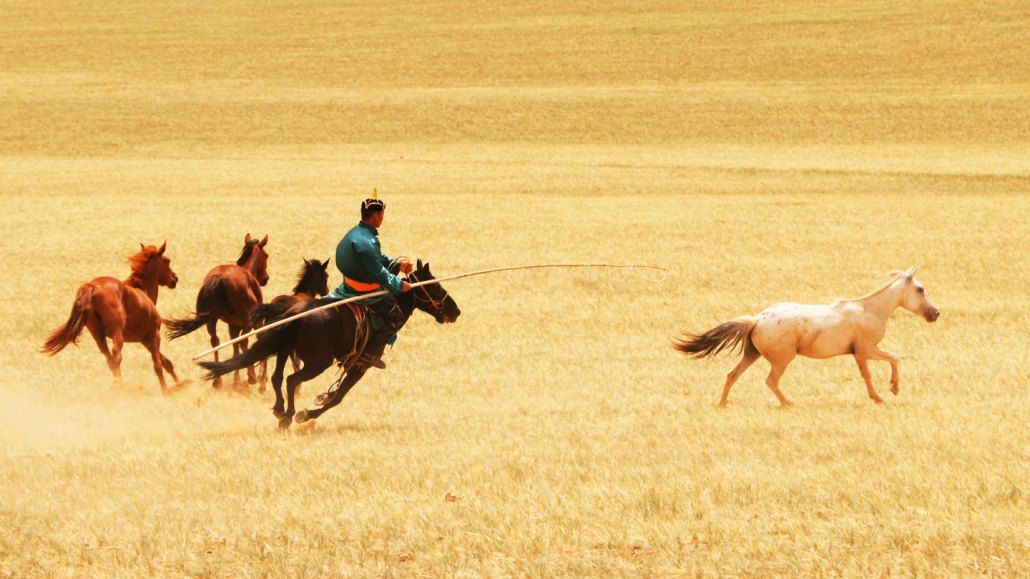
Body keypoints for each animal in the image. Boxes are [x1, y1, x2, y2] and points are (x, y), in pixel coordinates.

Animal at [41, 242, 182, 393]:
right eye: (167, 260)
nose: (175, 278)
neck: (142, 292)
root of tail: (93, 286)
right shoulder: (154, 335)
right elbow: (158, 365)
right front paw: (167, 391)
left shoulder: (144, 340)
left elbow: (166, 362)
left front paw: (180, 384)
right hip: (117, 331)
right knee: (116, 356)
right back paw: (119, 385)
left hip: (97, 334)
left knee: (109, 358)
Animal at [165, 233, 270, 389]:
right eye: (266, 255)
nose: (266, 278)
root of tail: (220, 277)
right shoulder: (255, 322)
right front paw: (260, 378)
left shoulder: (233, 326)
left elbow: (235, 347)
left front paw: (236, 379)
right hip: (248, 321)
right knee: (243, 341)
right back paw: (251, 377)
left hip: (212, 320)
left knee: (215, 341)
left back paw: (217, 379)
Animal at [198, 260, 460, 429]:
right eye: (435, 285)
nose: (455, 311)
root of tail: (296, 313)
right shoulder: (362, 364)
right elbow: (339, 397)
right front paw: (307, 413)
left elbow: (334, 392)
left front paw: (321, 396)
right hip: (318, 362)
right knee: (291, 379)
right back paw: (289, 415)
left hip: (284, 348)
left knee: (277, 377)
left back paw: (279, 408)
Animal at [673, 268, 940, 407]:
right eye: (920, 289)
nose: (935, 313)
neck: (870, 310)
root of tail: (757, 319)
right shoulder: (867, 349)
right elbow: (894, 358)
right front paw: (893, 389)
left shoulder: (858, 354)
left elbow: (867, 375)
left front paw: (878, 397)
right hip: (782, 359)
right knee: (770, 381)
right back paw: (789, 403)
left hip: (752, 354)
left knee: (732, 374)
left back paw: (722, 404)